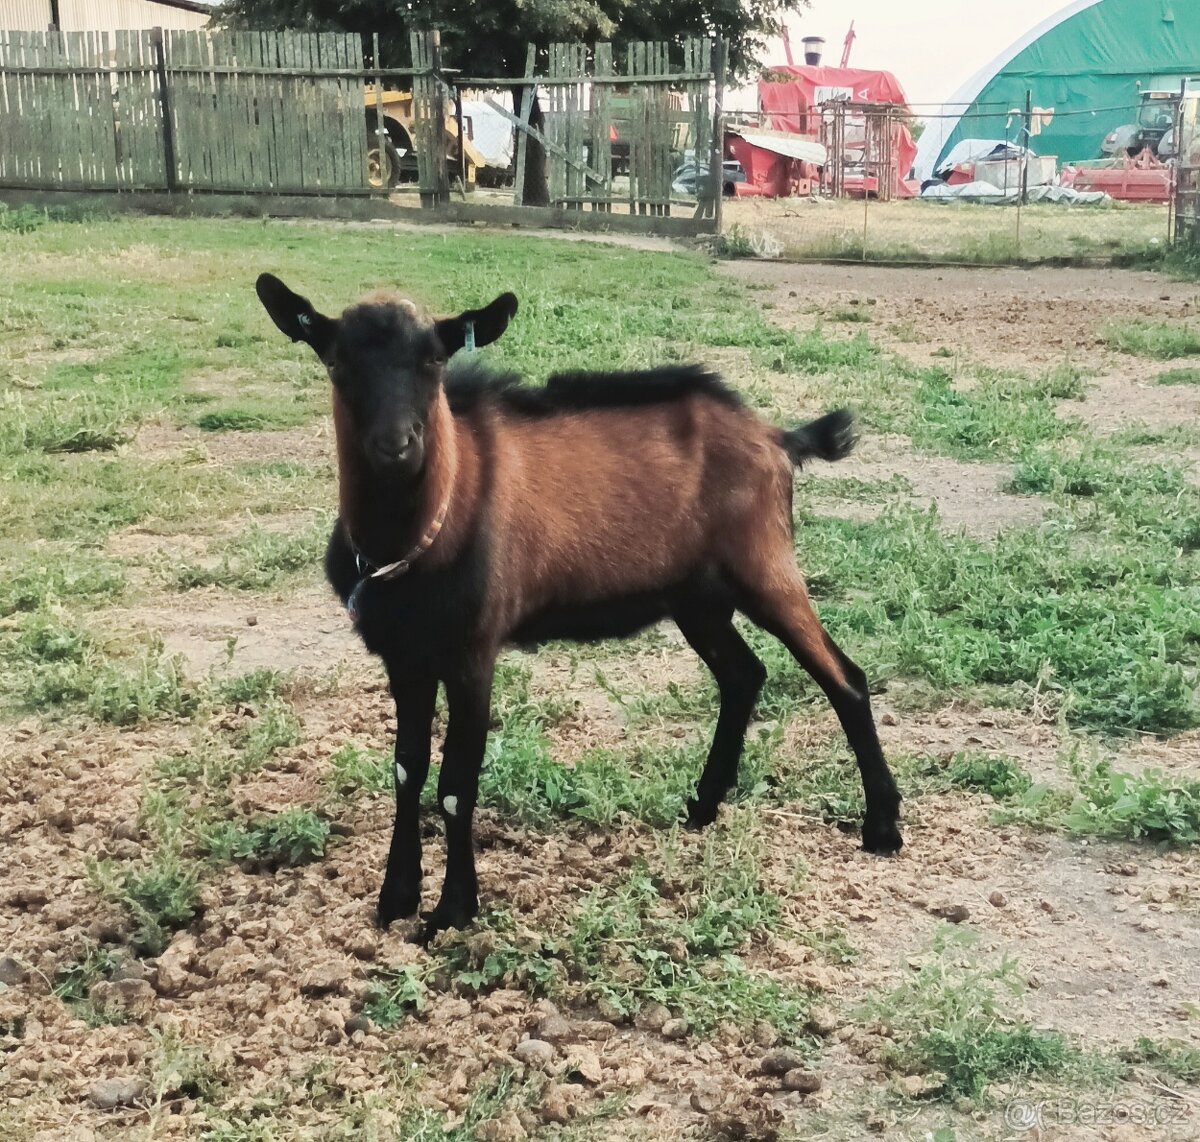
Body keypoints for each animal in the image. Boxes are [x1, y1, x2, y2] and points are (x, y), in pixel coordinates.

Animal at [258, 274, 902, 935]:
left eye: (434, 360)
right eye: (336, 362)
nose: (396, 446)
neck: (422, 532)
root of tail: (775, 437)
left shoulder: (471, 652)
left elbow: (457, 781)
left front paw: (455, 909)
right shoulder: (403, 656)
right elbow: (407, 770)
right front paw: (396, 898)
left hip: (765, 565)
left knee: (844, 677)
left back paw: (881, 827)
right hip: (696, 598)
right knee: (744, 675)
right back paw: (703, 805)